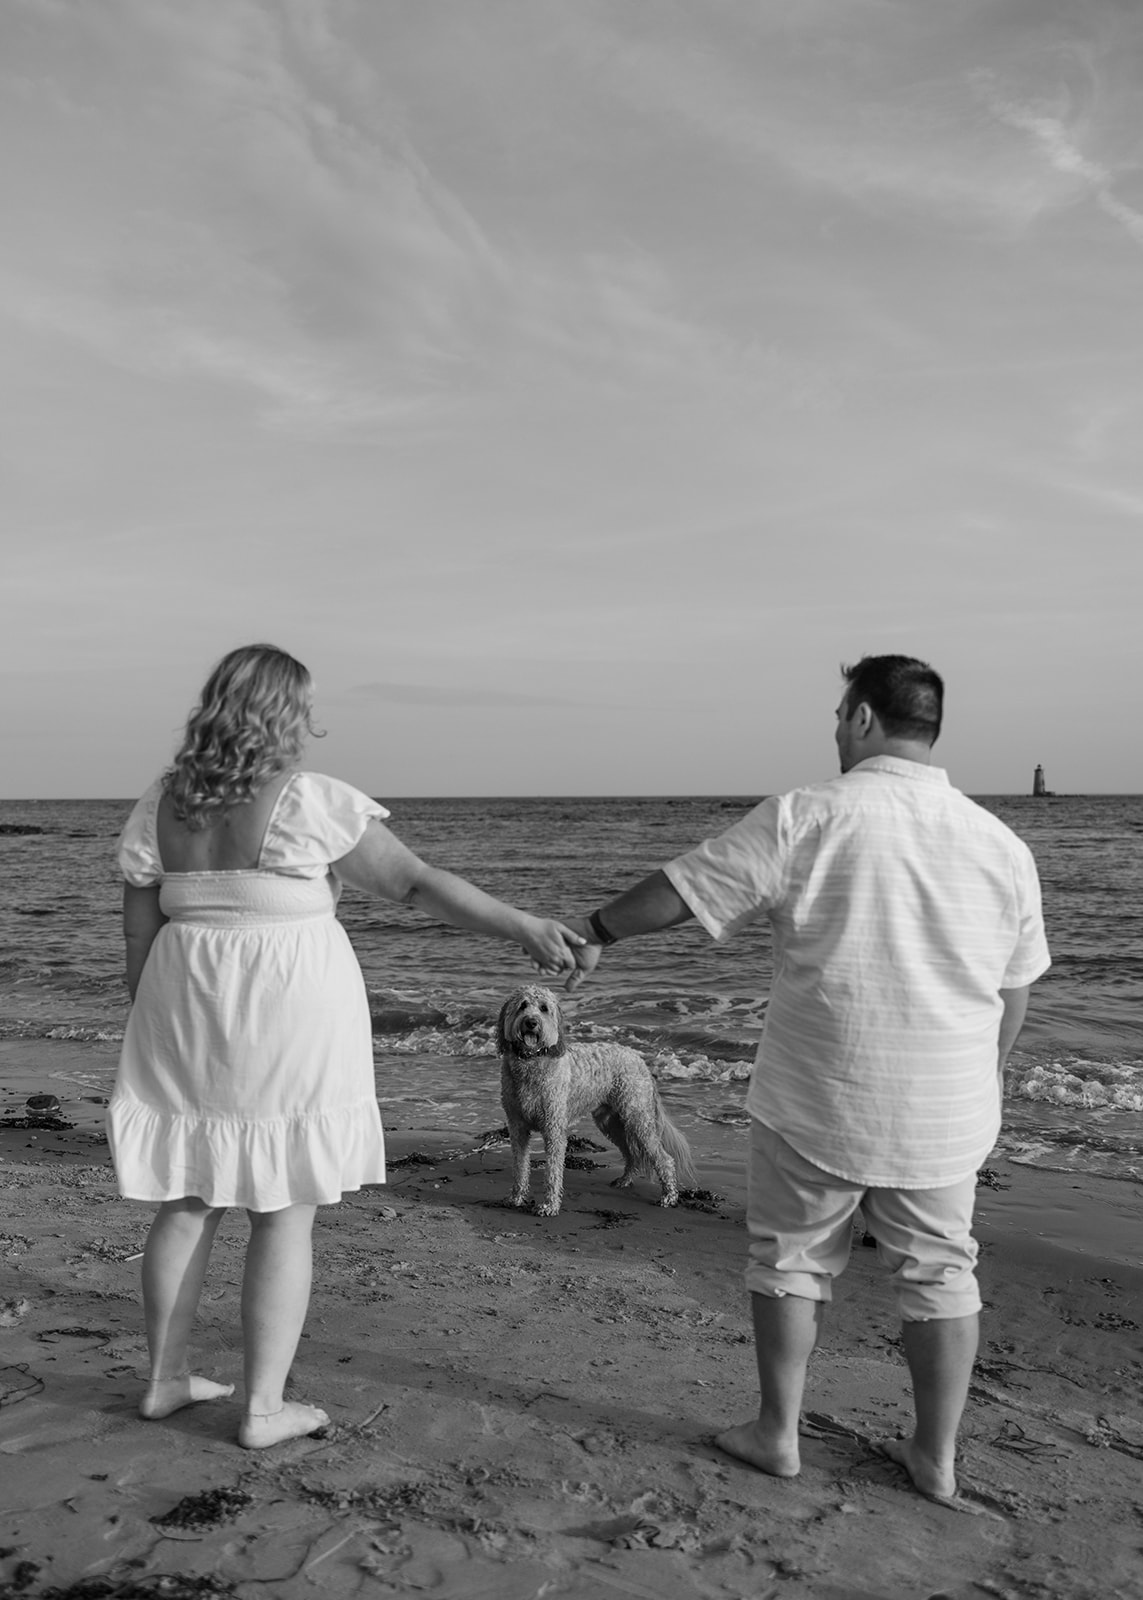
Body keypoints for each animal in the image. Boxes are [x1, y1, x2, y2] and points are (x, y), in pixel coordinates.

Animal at [493, 979, 694, 1216]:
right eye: (523, 1005)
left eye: (543, 1008)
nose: (531, 1022)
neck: (531, 1062)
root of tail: (639, 1059)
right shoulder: (517, 1127)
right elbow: (520, 1167)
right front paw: (516, 1197)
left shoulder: (554, 1129)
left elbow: (552, 1172)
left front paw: (549, 1206)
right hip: (611, 1122)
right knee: (631, 1153)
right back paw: (625, 1180)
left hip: (638, 1119)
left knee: (665, 1159)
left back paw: (669, 1196)